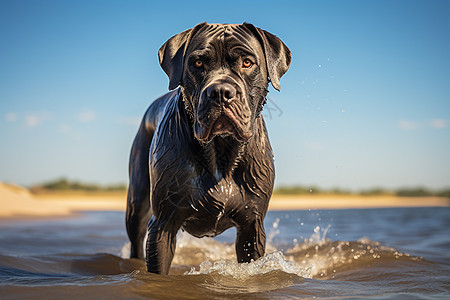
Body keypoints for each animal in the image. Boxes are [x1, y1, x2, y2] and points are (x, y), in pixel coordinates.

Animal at [125, 22, 292, 274]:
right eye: (198, 63)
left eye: (247, 62)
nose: (221, 92)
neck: (221, 149)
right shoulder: (163, 224)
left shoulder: (252, 228)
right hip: (137, 205)